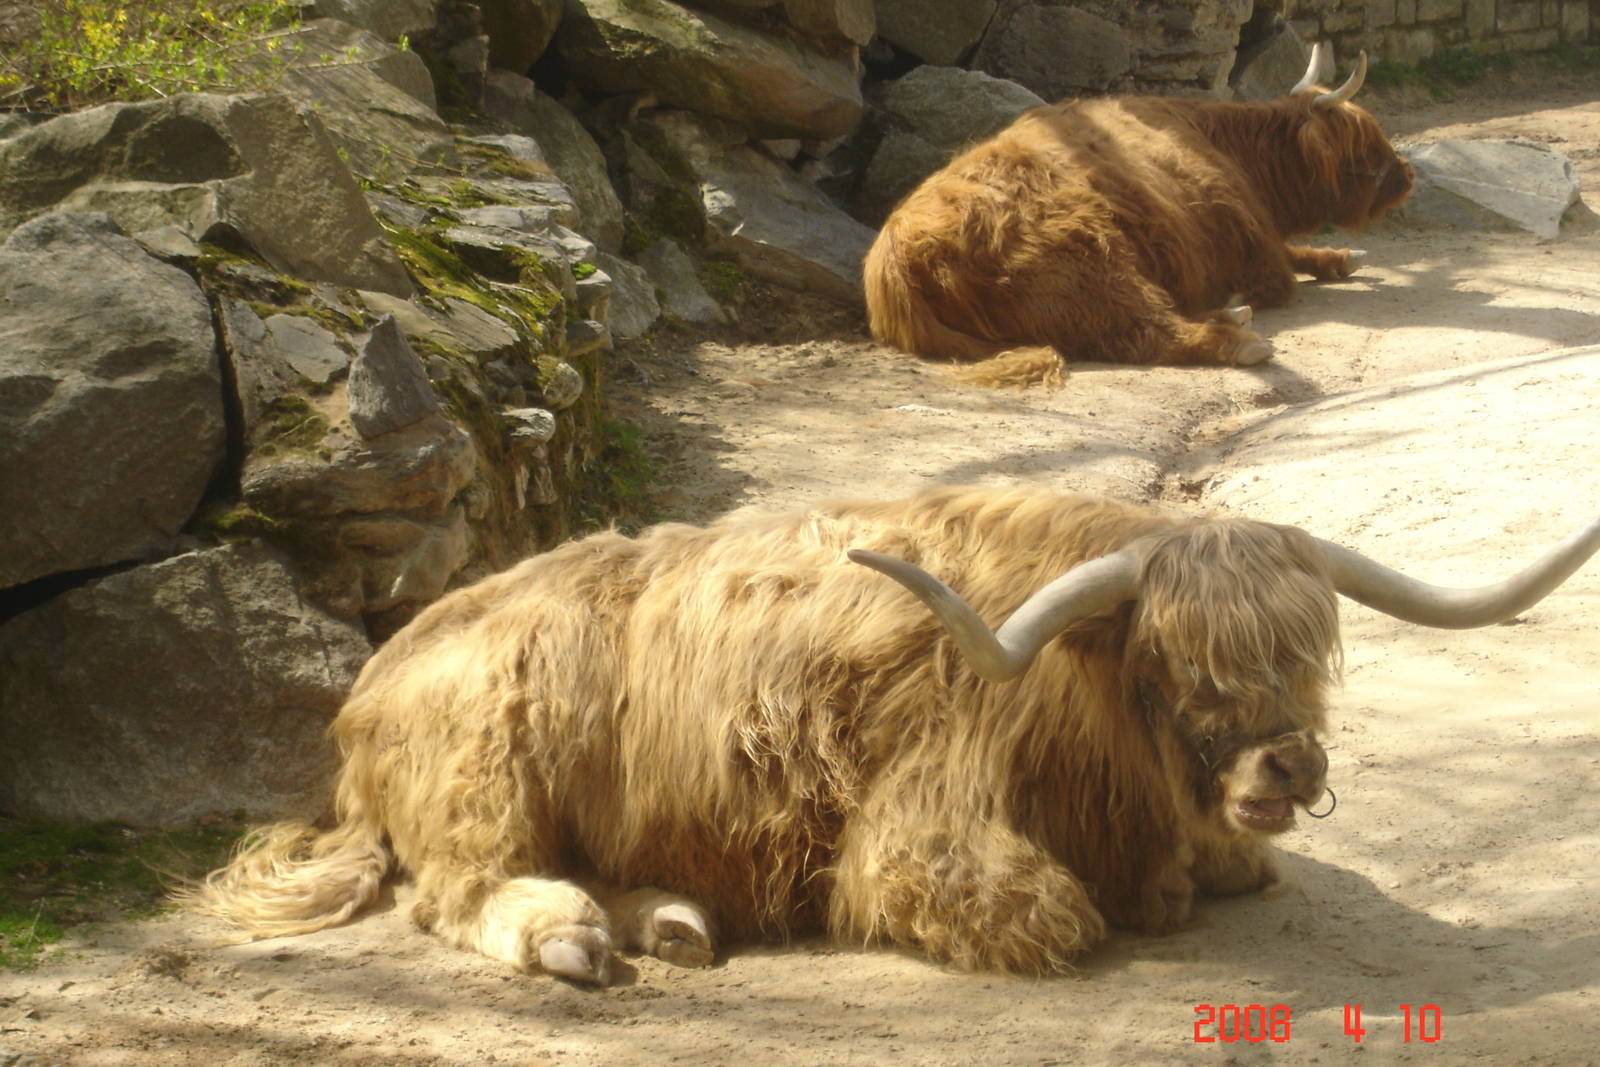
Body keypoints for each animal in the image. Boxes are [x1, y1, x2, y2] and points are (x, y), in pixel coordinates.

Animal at [192, 487, 1600, 984]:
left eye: (1304, 647)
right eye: (1174, 660)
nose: (1286, 764)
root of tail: (369, 690)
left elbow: (1239, 867)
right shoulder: (920, 838)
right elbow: (1054, 912)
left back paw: (672, 917)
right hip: (489, 749)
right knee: (459, 884)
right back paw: (574, 936)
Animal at [863, 45, 1415, 382]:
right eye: (1367, 142)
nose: (1407, 174)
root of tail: (892, 257)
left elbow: (1297, 252)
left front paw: (1341, 257)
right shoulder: (1250, 241)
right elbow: (1282, 272)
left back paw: (1231, 313)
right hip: (1091, 263)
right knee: (1144, 331)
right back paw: (1242, 339)